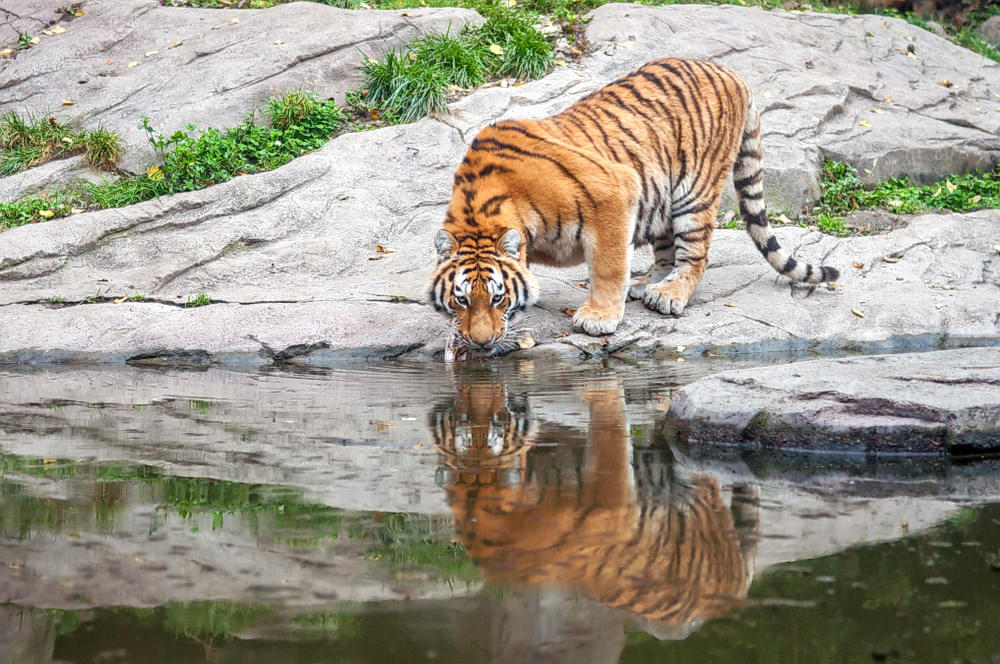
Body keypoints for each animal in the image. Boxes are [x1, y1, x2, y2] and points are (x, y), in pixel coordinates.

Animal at [426, 59, 840, 356]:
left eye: (498, 297)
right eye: (461, 300)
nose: (480, 342)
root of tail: (731, 73)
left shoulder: (613, 192)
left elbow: (608, 266)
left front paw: (599, 318)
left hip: (694, 191)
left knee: (696, 255)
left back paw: (668, 295)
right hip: (662, 196)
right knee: (666, 250)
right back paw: (647, 284)